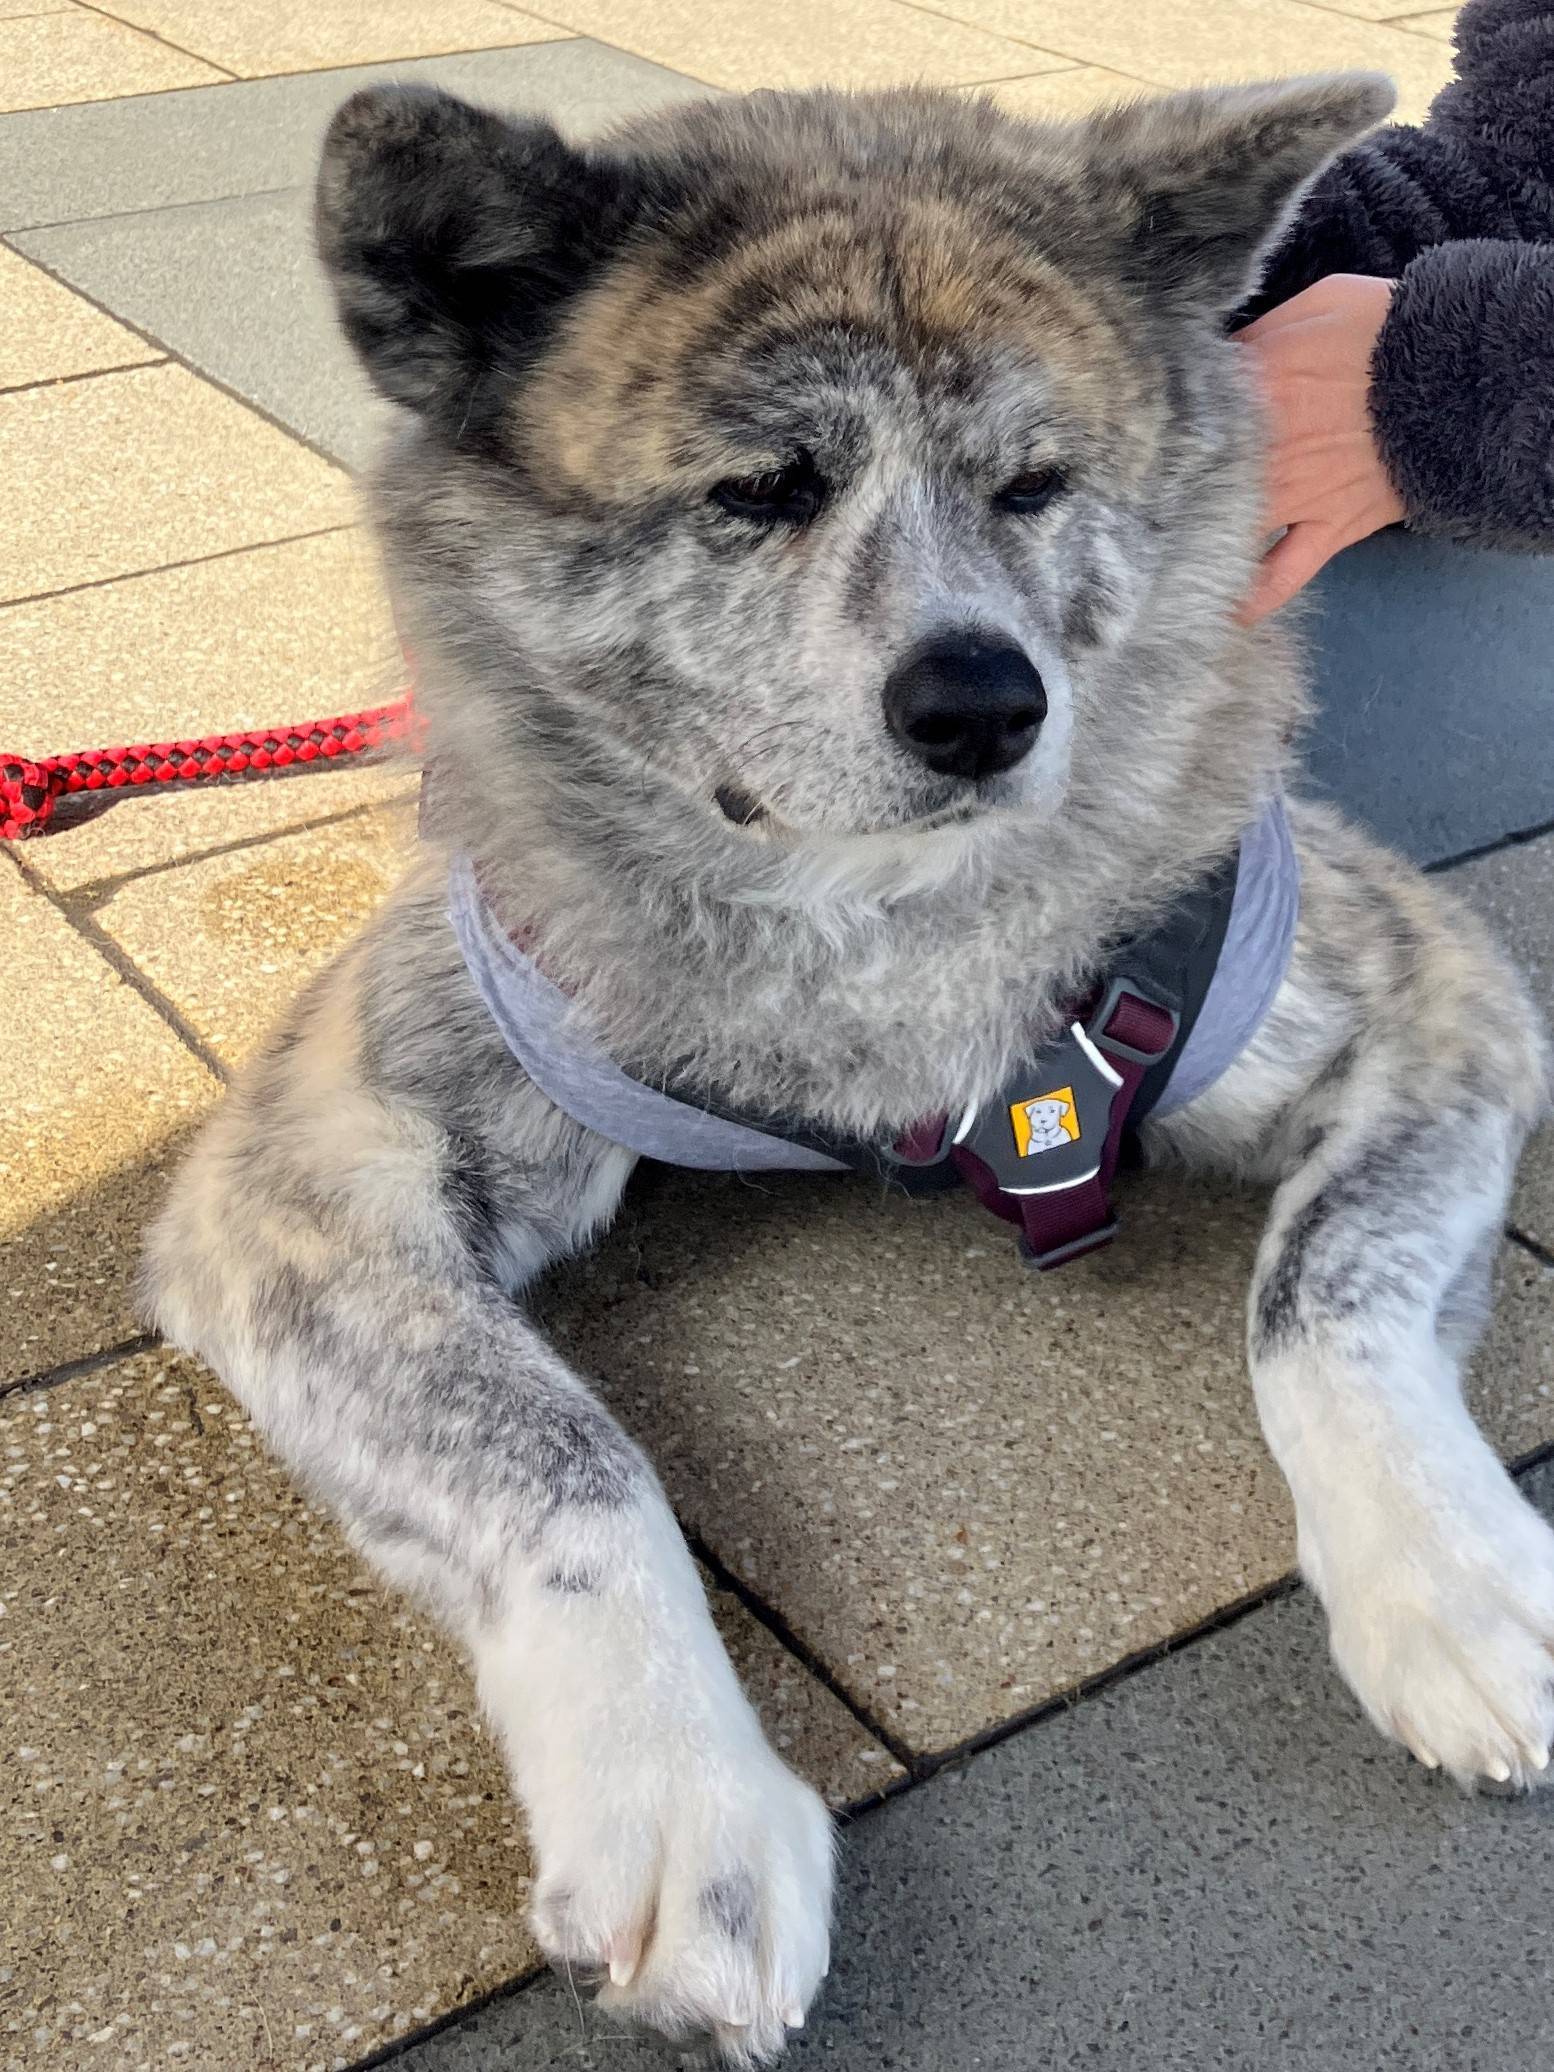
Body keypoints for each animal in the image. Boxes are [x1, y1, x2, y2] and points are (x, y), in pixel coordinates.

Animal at [146, 76, 1554, 2055]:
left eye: (1034, 483)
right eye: (760, 491)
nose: (983, 705)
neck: (864, 929)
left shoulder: (1433, 997)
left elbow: (1319, 1298)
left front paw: (1450, 1580)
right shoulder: (301, 1183)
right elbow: (559, 1456)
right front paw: (683, 1796)